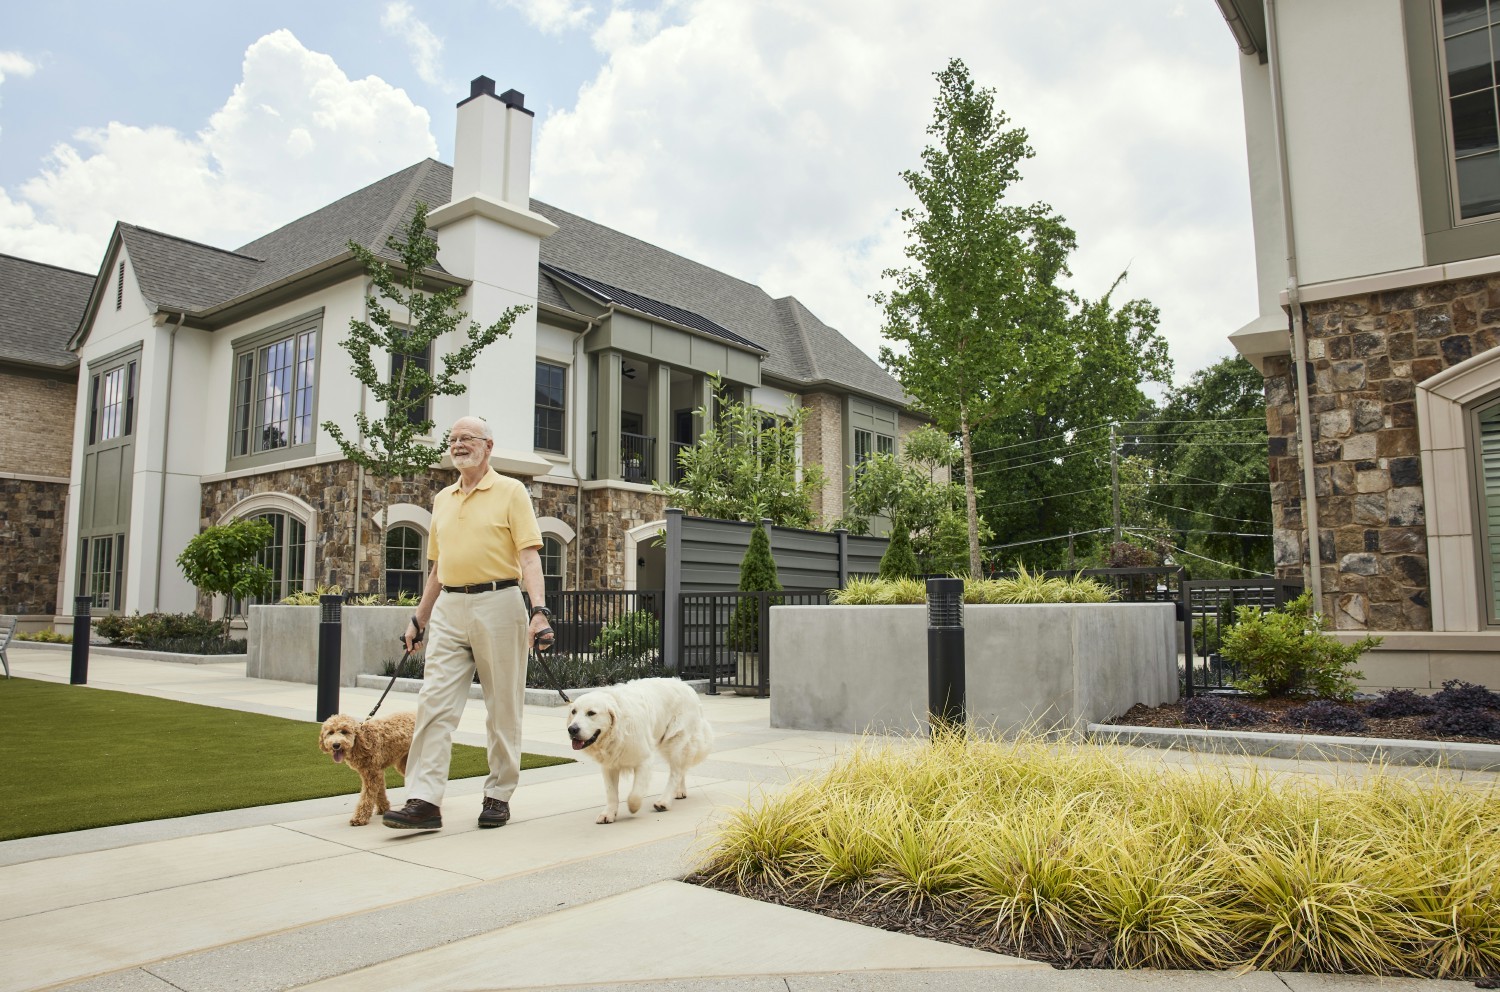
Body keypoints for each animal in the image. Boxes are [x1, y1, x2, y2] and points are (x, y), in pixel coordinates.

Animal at [567, 678, 720, 822]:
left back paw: (663, 802)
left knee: (676, 773)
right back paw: (680, 791)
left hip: (676, 743)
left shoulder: (644, 760)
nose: (572, 729)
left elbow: (635, 793)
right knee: (682, 769)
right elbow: (611, 793)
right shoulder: (609, 765)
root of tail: (686, 686)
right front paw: (608, 814)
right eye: (574, 712)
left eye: (591, 713)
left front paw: (633, 807)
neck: (618, 728)